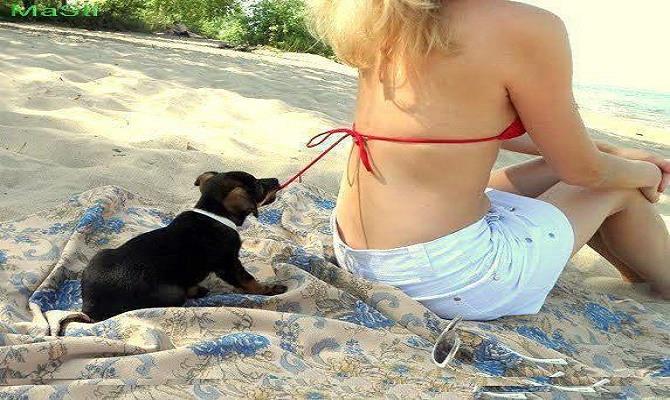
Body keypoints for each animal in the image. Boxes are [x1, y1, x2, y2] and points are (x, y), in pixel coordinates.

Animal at [81, 171, 286, 322]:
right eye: (258, 185)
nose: (276, 180)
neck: (214, 213)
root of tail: (89, 308)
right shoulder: (229, 264)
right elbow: (248, 280)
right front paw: (269, 290)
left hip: (101, 254)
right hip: (172, 293)